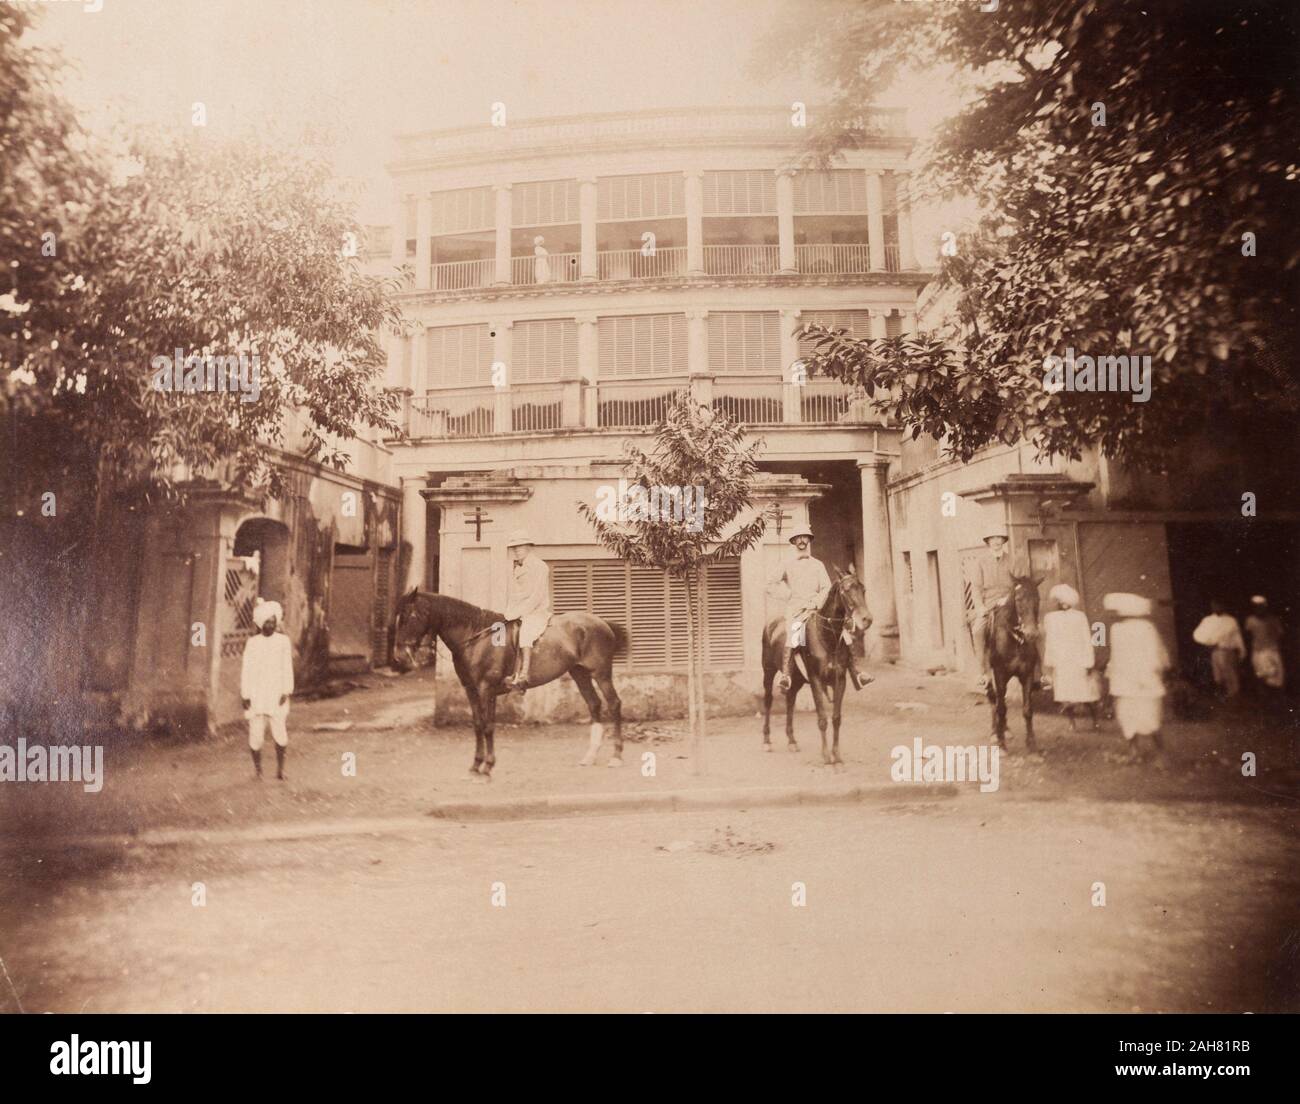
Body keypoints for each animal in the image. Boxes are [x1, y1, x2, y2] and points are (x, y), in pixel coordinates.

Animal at [390, 590, 624, 780]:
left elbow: (487, 726)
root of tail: (602, 623)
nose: (399, 656)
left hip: (601, 673)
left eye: (411, 616)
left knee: (613, 704)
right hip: (580, 673)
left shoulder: (486, 689)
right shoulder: (472, 690)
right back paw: (590, 756)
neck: (475, 637)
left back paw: (616, 757)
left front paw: (487, 768)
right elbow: (478, 725)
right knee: (594, 704)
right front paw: (476, 766)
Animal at [759, 564, 868, 764]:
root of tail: (771, 622)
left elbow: (836, 718)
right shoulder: (816, 680)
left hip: (796, 679)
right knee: (768, 701)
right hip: (768, 671)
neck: (827, 638)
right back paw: (767, 740)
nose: (866, 619)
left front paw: (837, 757)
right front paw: (826, 758)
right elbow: (822, 719)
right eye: (846, 590)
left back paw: (792, 740)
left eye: (863, 589)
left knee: (790, 701)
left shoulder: (840, 680)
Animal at [987, 572, 1040, 754]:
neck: (1015, 640)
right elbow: (1001, 708)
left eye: (1037, 598)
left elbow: (1028, 710)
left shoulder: (1027, 674)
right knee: (994, 700)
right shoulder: (999, 675)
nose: (1031, 634)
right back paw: (996, 732)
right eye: (1018, 599)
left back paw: (1004, 730)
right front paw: (1001, 744)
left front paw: (1031, 742)